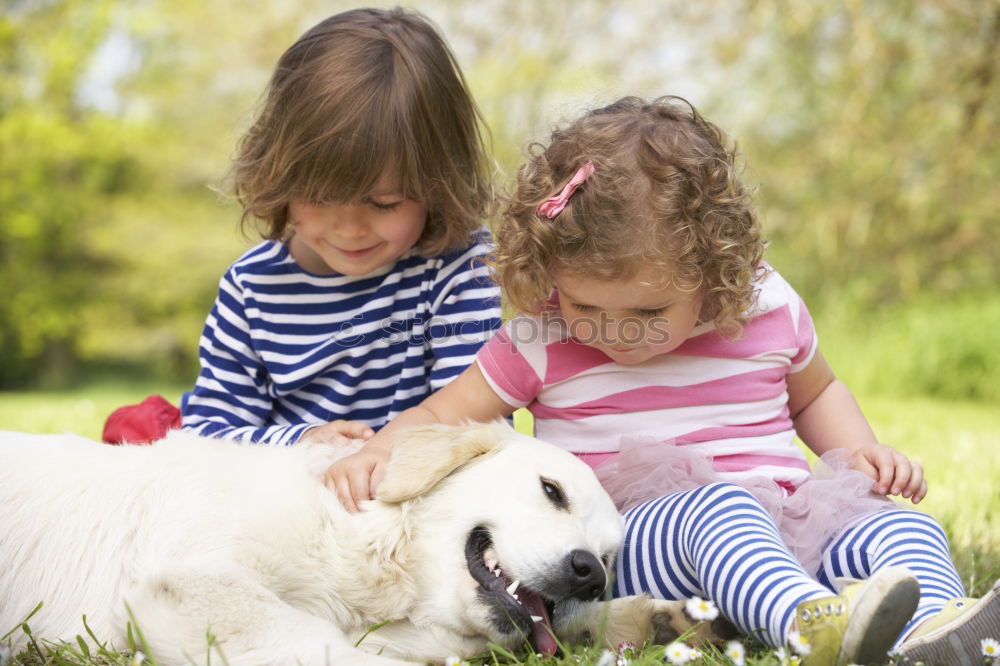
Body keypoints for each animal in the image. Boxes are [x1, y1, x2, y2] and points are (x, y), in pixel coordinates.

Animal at [0, 422, 736, 660]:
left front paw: (655, 617)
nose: (589, 572)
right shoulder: (185, 580)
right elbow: (328, 647)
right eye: (552, 491)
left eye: (610, 558)